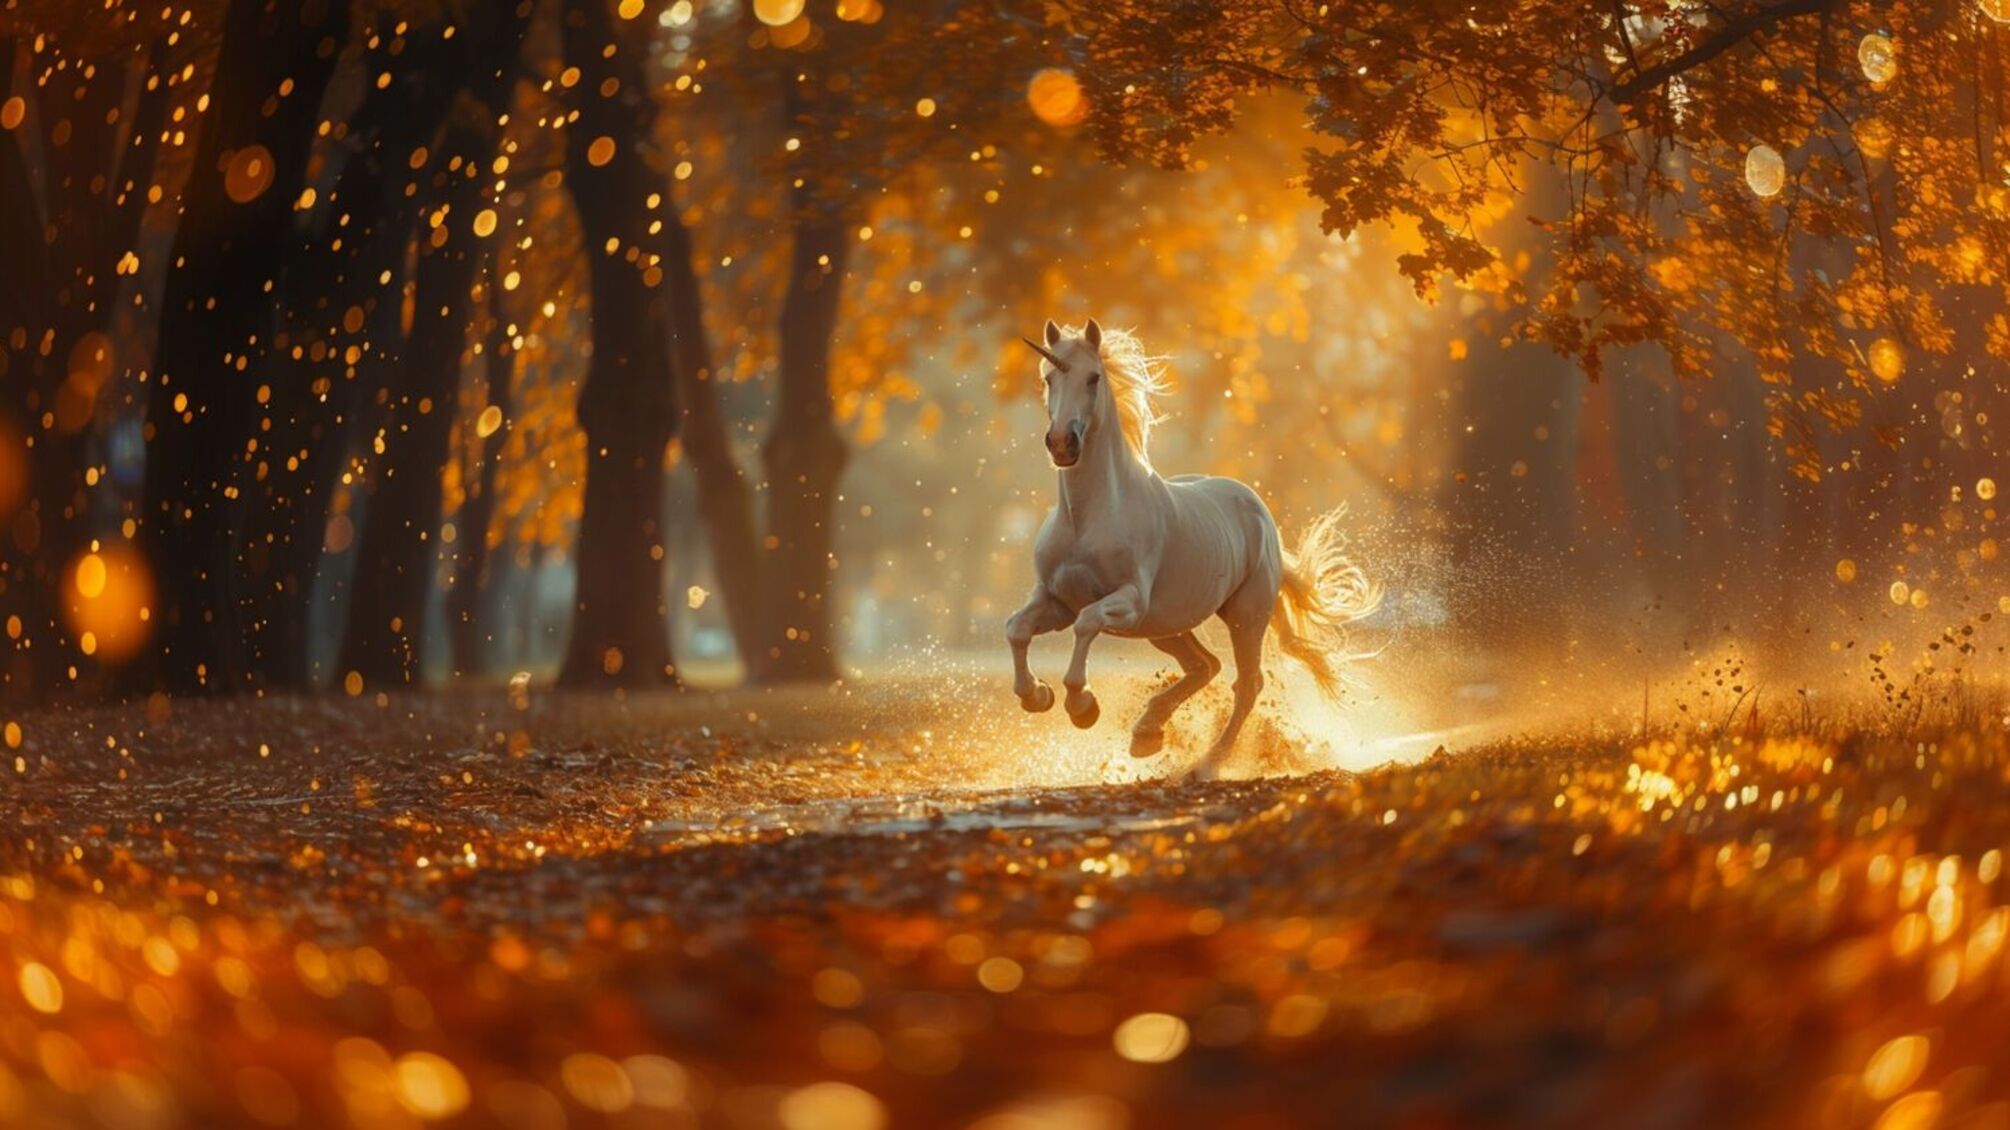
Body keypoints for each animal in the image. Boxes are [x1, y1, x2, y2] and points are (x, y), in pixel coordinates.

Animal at [1005, 318, 1380, 778]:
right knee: (1205, 666)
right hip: (1166, 627)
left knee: (1246, 683)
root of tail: (1259, 513)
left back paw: (1207, 762)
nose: (1062, 444)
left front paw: (1082, 706)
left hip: (1244, 616)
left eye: (1093, 378)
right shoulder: (1056, 600)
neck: (1087, 518)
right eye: (1048, 378)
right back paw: (1147, 734)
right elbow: (1016, 629)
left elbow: (1087, 624)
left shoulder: (1128, 602)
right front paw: (1036, 696)